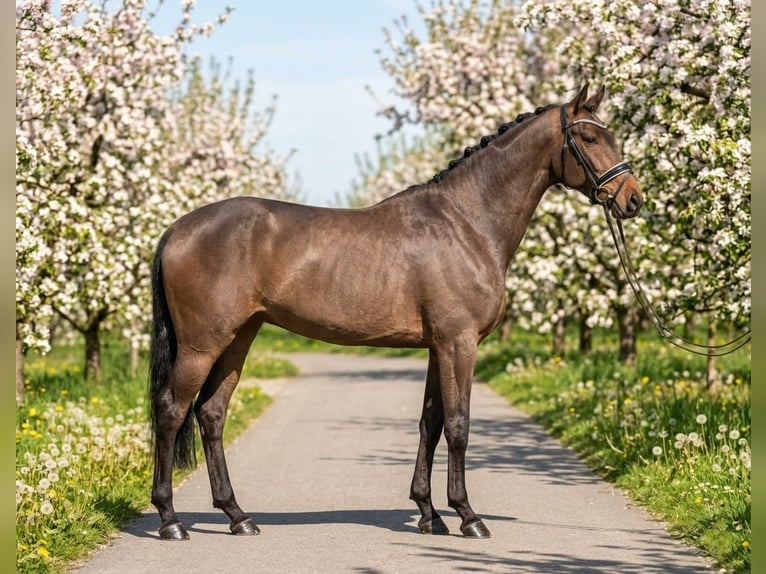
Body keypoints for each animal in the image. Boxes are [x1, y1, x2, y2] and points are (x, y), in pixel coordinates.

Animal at [148, 83, 643, 541]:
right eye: (590, 138)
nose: (633, 199)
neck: (466, 222)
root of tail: (177, 228)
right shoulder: (458, 343)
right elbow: (458, 425)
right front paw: (468, 516)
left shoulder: (437, 346)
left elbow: (431, 423)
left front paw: (429, 514)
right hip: (201, 345)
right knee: (171, 409)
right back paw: (171, 520)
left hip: (238, 339)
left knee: (211, 414)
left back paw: (238, 516)